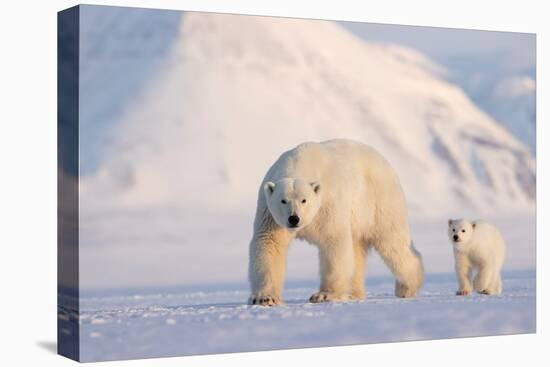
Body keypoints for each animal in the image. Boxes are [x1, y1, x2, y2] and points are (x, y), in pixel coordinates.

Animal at [250, 139, 426, 306]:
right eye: (283, 200)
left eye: (304, 200)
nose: (294, 219)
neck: (300, 162)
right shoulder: (270, 214)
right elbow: (269, 243)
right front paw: (265, 298)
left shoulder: (328, 202)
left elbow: (333, 241)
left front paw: (323, 295)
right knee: (357, 251)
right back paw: (354, 293)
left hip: (379, 201)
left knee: (392, 242)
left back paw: (406, 288)